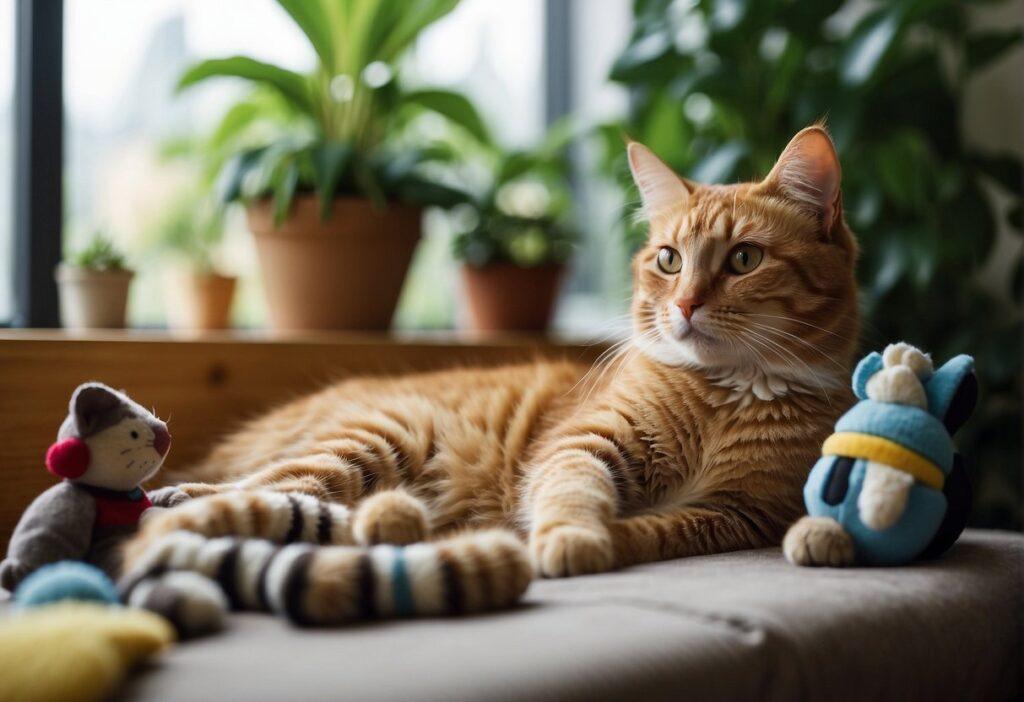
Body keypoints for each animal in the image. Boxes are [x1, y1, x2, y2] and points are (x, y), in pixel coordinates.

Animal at [128, 123, 864, 585]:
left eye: (743, 260)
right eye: (668, 260)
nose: (683, 306)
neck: (725, 394)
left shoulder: (738, 514)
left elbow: (655, 529)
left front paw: (588, 541)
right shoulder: (585, 444)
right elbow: (574, 490)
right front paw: (573, 536)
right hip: (376, 440)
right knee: (261, 483)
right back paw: (180, 495)